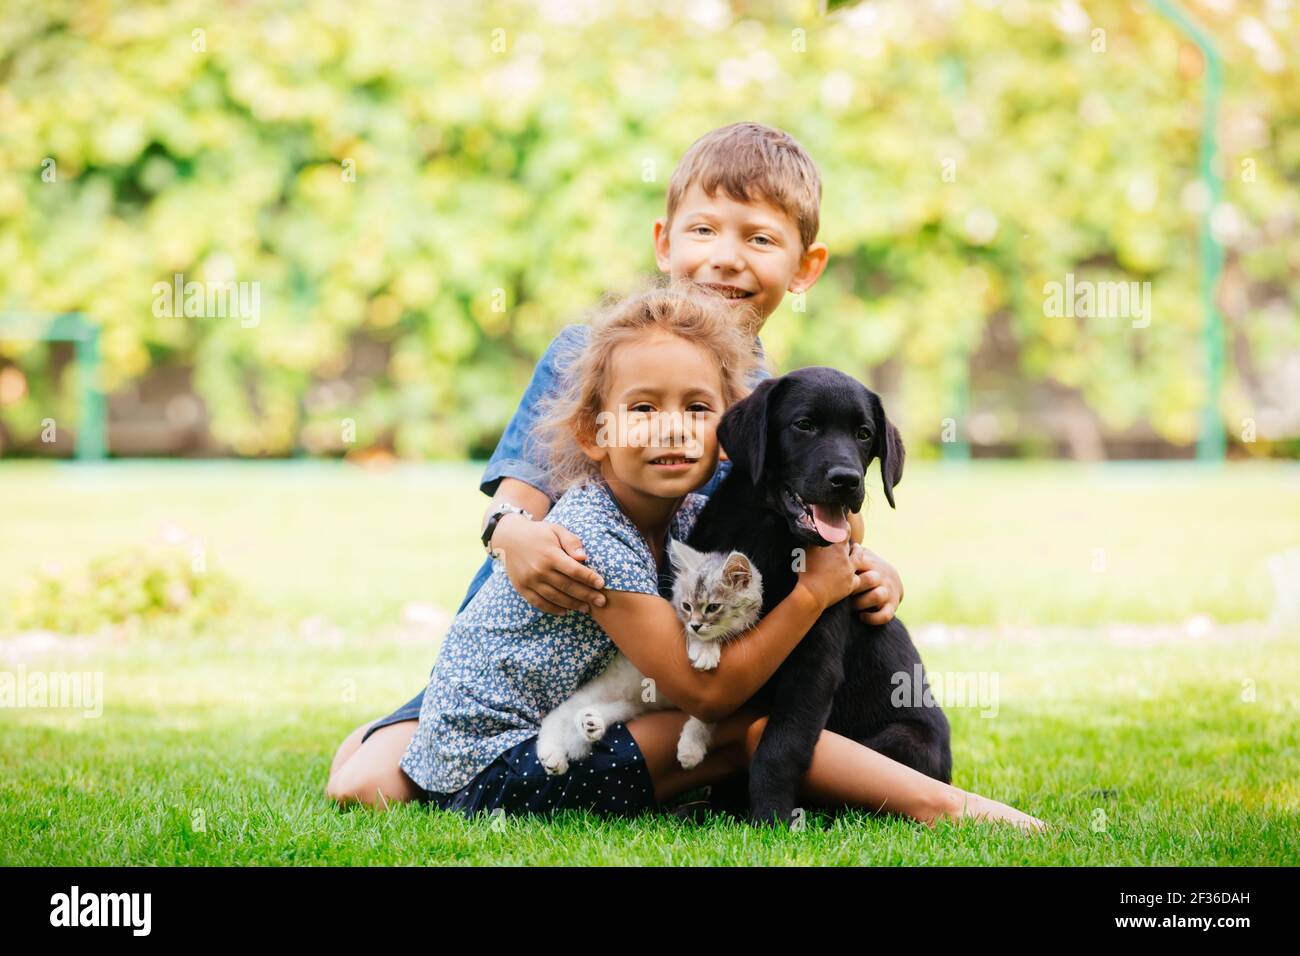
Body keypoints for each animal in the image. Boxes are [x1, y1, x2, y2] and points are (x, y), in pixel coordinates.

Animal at [535, 538, 759, 780]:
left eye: (713, 607)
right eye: (686, 607)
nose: (695, 625)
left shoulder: (720, 701)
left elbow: (705, 719)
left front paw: (691, 748)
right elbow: (696, 639)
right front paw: (705, 649)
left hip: (630, 705)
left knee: (593, 713)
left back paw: (590, 724)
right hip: (602, 689)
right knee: (557, 714)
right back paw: (552, 754)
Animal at [686, 369, 951, 832]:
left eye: (864, 434)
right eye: (804, 425)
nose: (847, 480)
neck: (768, 535)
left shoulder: (813, 668)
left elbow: (778, 747)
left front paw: (771, 818)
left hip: (903, 740)